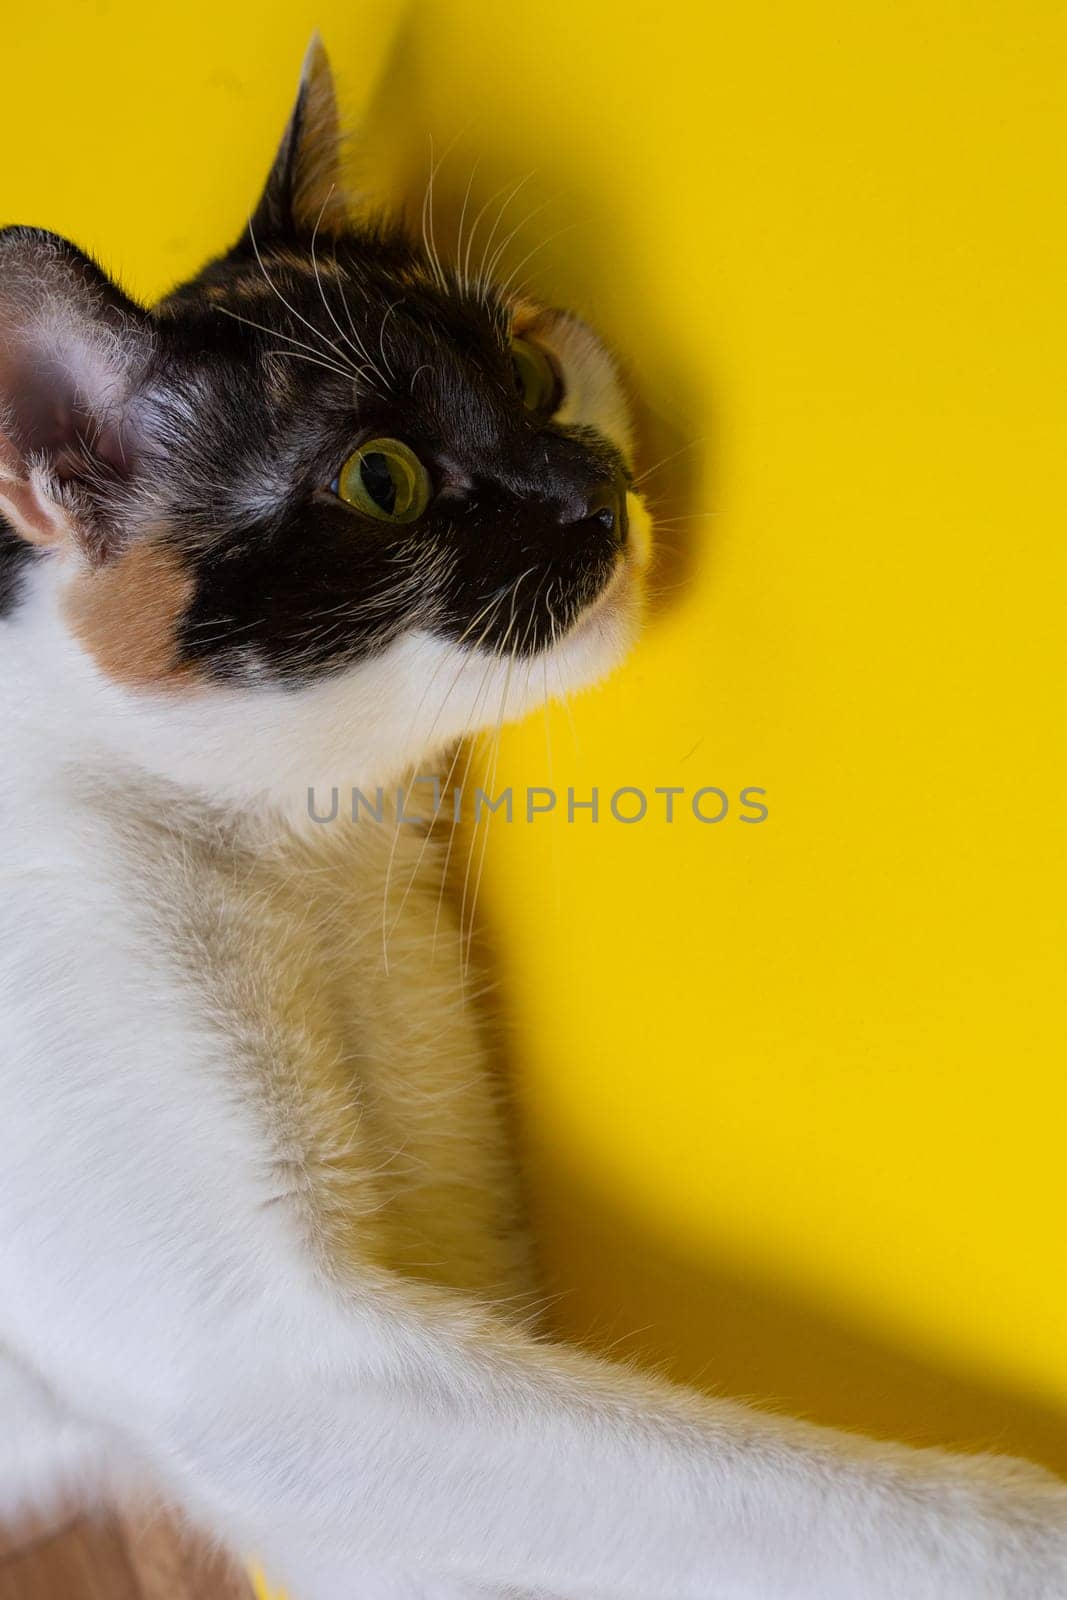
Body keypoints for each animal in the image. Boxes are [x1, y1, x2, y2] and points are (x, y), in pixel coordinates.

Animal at [2, 37, 1067, 1600]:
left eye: (523, 364)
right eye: (380, 478)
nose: (597, 486)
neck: (300, 861)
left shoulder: (450, 1218)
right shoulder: (272, 1369)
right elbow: (739, 1493)